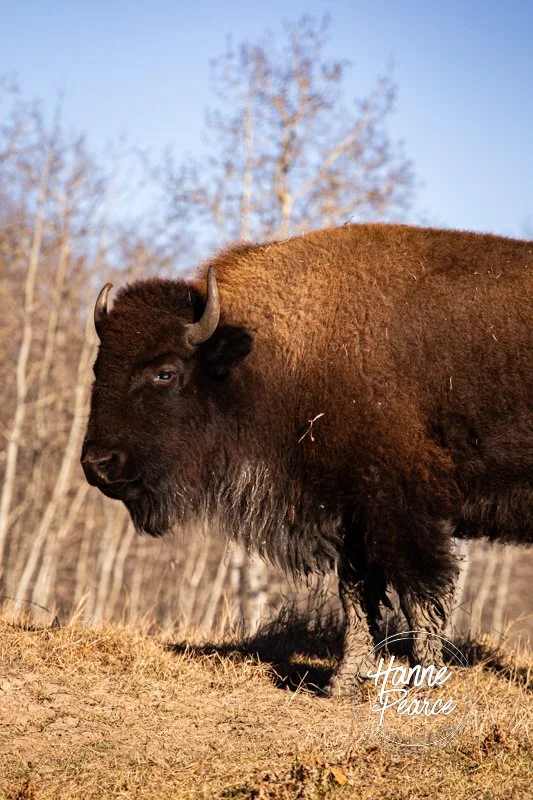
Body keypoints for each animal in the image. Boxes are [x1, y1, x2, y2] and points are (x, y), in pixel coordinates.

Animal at [81, 223, 533, 696]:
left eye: (165, 372)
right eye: (98, 368)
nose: (99, 463)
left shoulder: (402, 510)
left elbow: (420, 596)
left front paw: (424, 684)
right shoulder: (352, 516)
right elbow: (357, 598)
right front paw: (340, 686)